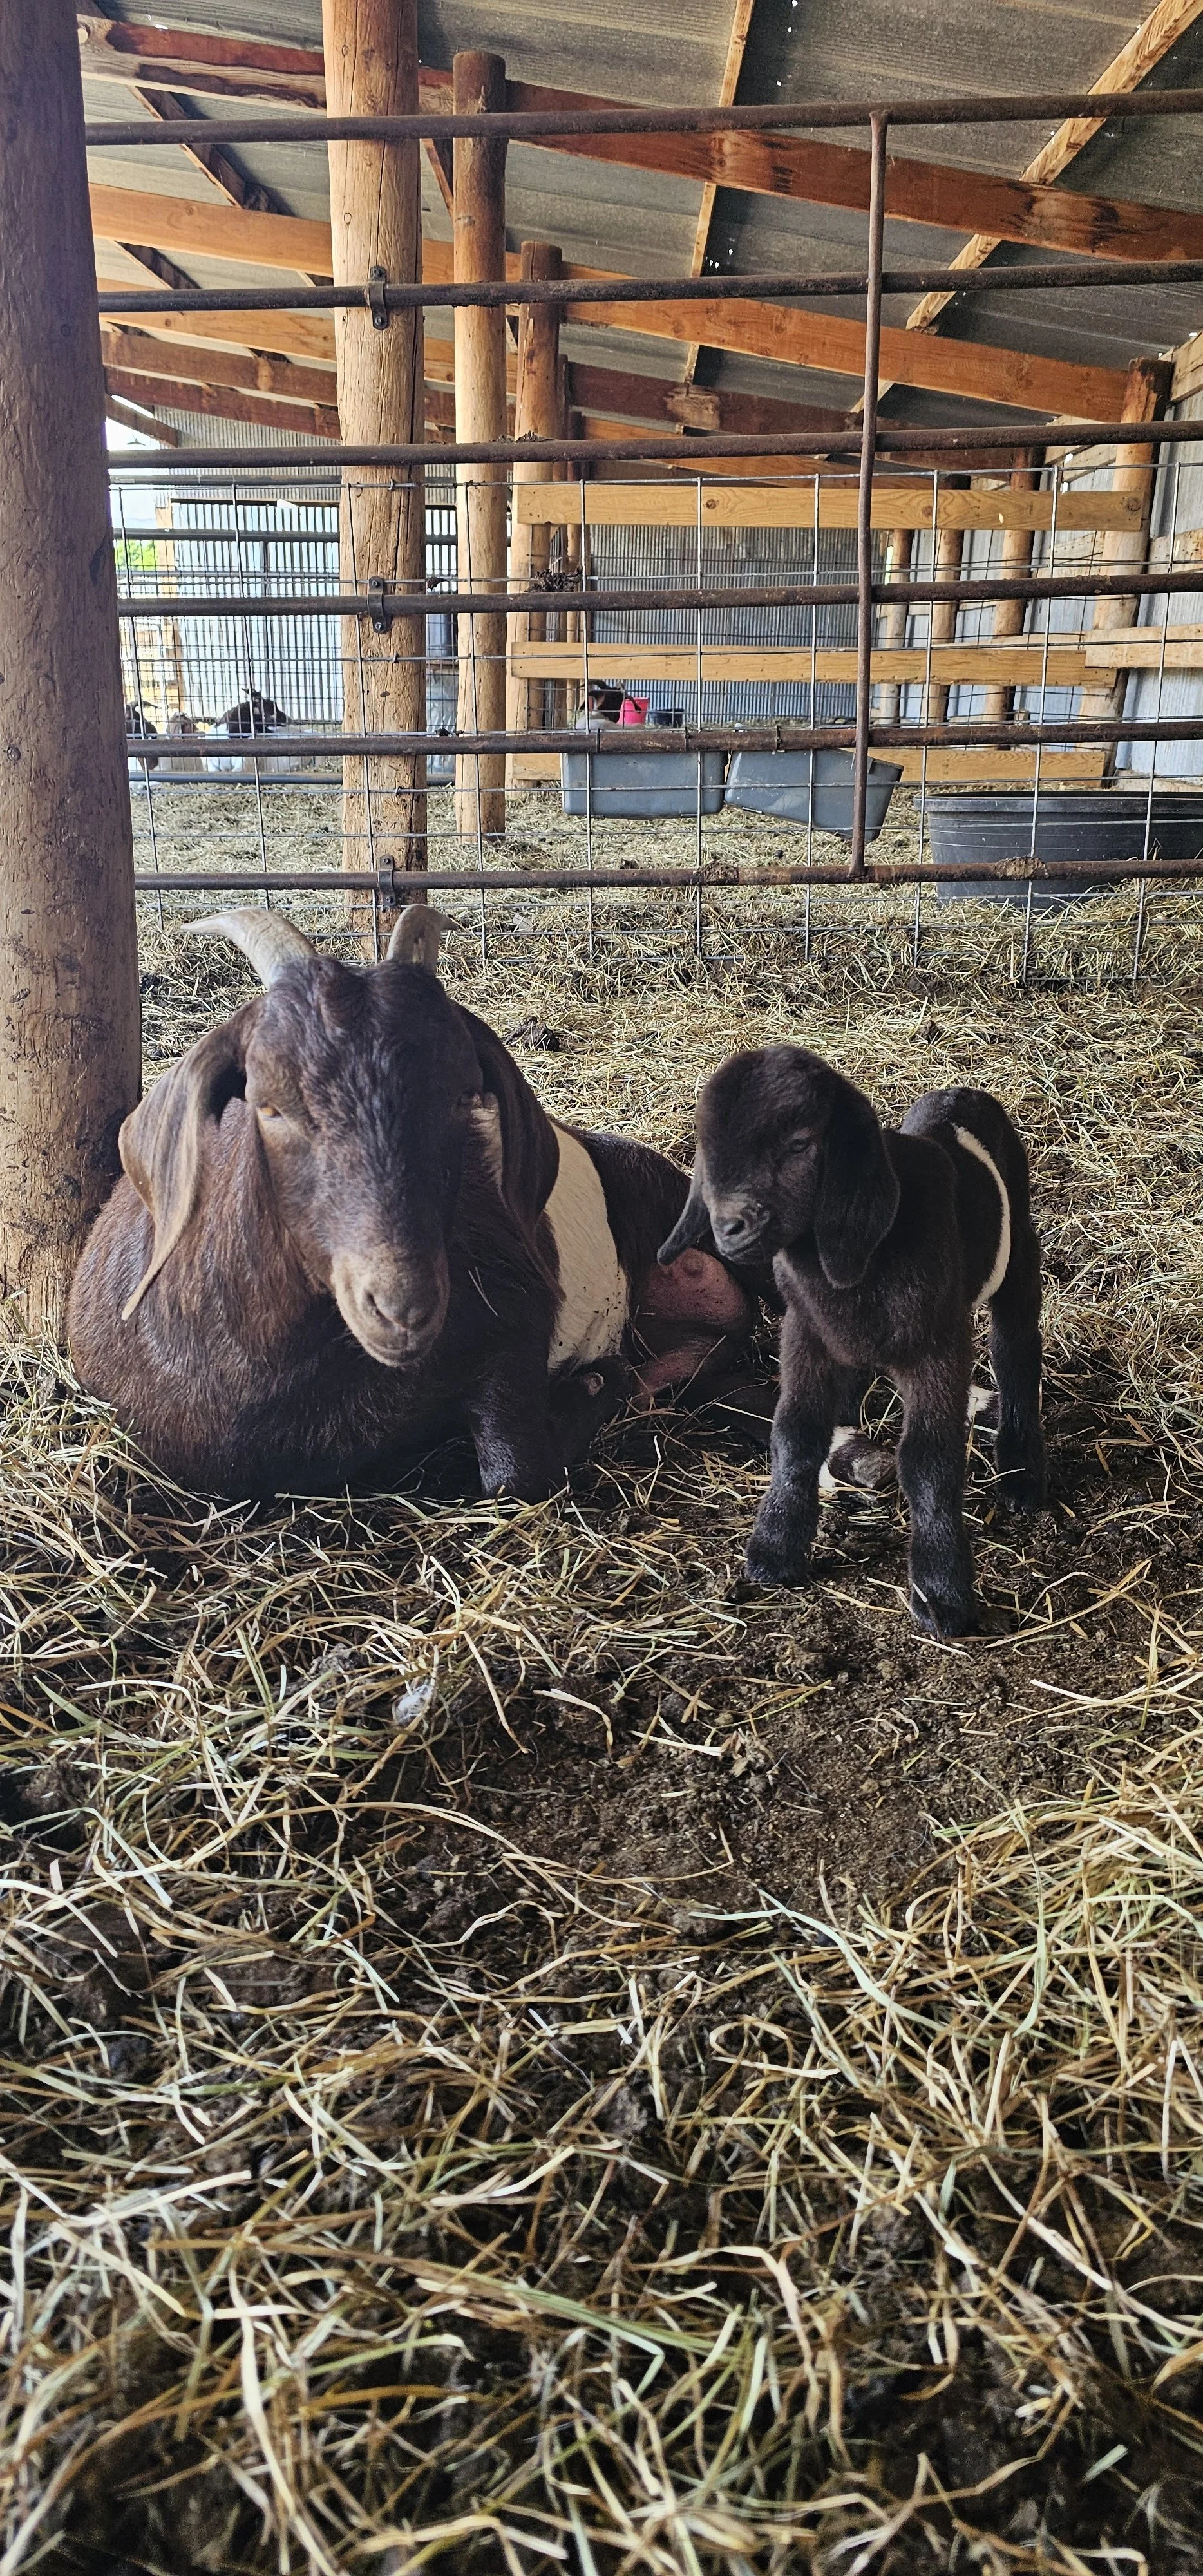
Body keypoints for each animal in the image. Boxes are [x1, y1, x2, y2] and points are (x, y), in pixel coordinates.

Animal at [68, 908, 753, 1502]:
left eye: (463, 1097)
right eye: (269, 1104)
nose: (404, 1306)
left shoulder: (515, 1309)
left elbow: (515, 1472)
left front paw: (595, 1380)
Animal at [658, 1047, 1045, 1637]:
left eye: (800, 1143)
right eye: (707, 1145)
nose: (729, 1229)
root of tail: (960, 1093)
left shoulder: (936, 1346)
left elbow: (929, 1459)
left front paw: (941, 1593)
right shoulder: (807, 1334)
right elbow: (794, 1432)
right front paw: (775, 1550)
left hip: (1019, 1249)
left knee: (1017, 1350)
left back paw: (1021, 1470)